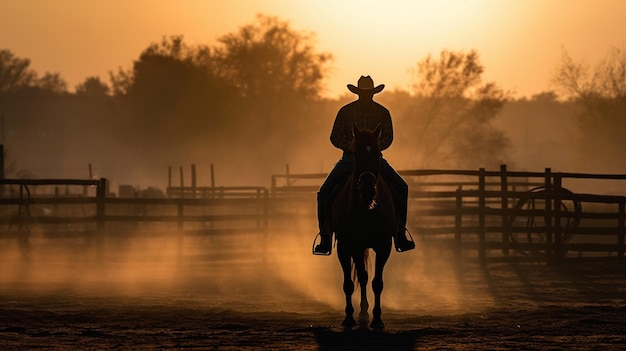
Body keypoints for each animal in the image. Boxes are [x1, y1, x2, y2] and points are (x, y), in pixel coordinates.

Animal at [330, 124, 392, 330]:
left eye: (378, 153)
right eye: (356, 153)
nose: (367, 190)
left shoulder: (384, 246)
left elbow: (377, 283)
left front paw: (378, 320)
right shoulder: (346, 246)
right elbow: (349, 283)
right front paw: (349, 318)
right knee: (361, 276)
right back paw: (362, 313)